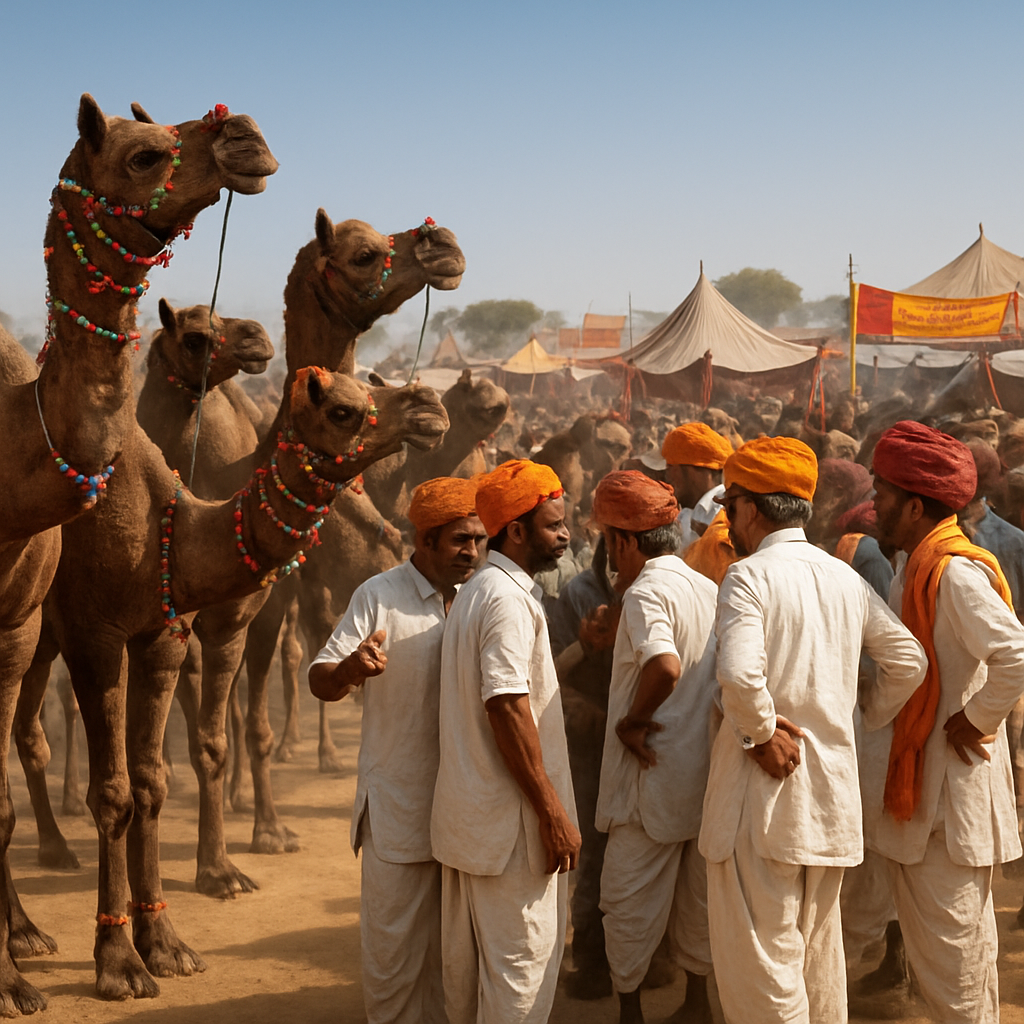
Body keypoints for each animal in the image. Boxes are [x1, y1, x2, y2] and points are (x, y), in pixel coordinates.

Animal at [0, 94, 277, 1016]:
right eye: (143, 156)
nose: (247, 138)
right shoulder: (92, 631)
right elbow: (113, 789)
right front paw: (116, 963)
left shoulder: (158, 632)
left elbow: (151, 781)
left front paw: (166, 942)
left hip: (34, 641)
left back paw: (28, 928)